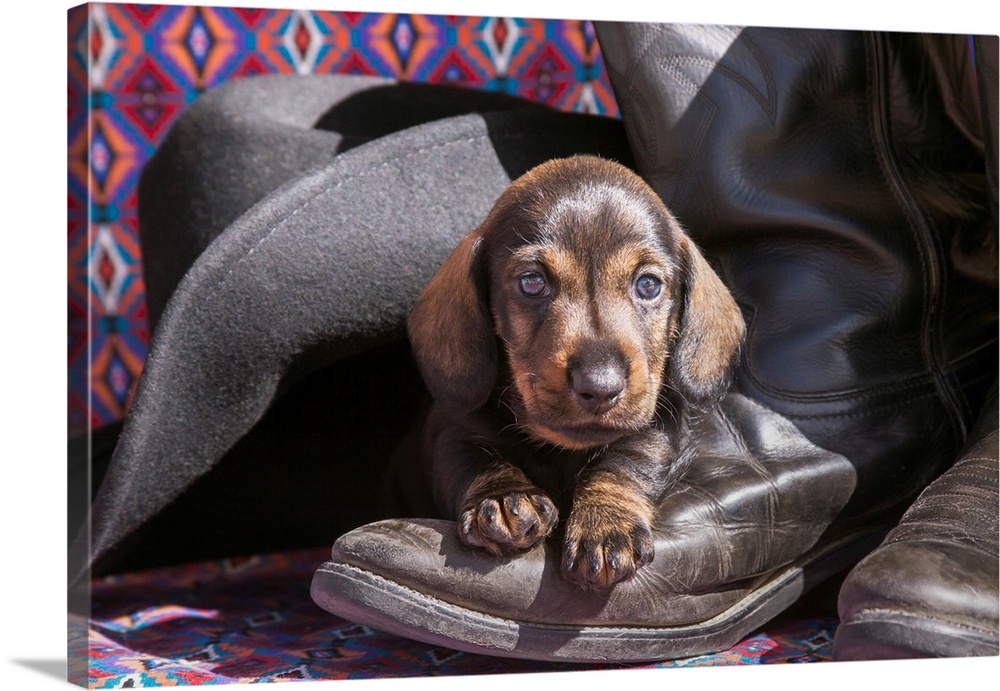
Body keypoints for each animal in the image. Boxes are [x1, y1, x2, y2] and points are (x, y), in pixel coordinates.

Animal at [406, 155, 744, 588]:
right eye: (532, 282)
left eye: (648, 285)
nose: (600, 387)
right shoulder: (450, 431)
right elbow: (470, 459)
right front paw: (500, 497)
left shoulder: (657, 425)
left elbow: (624, 461)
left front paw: (605, 520)